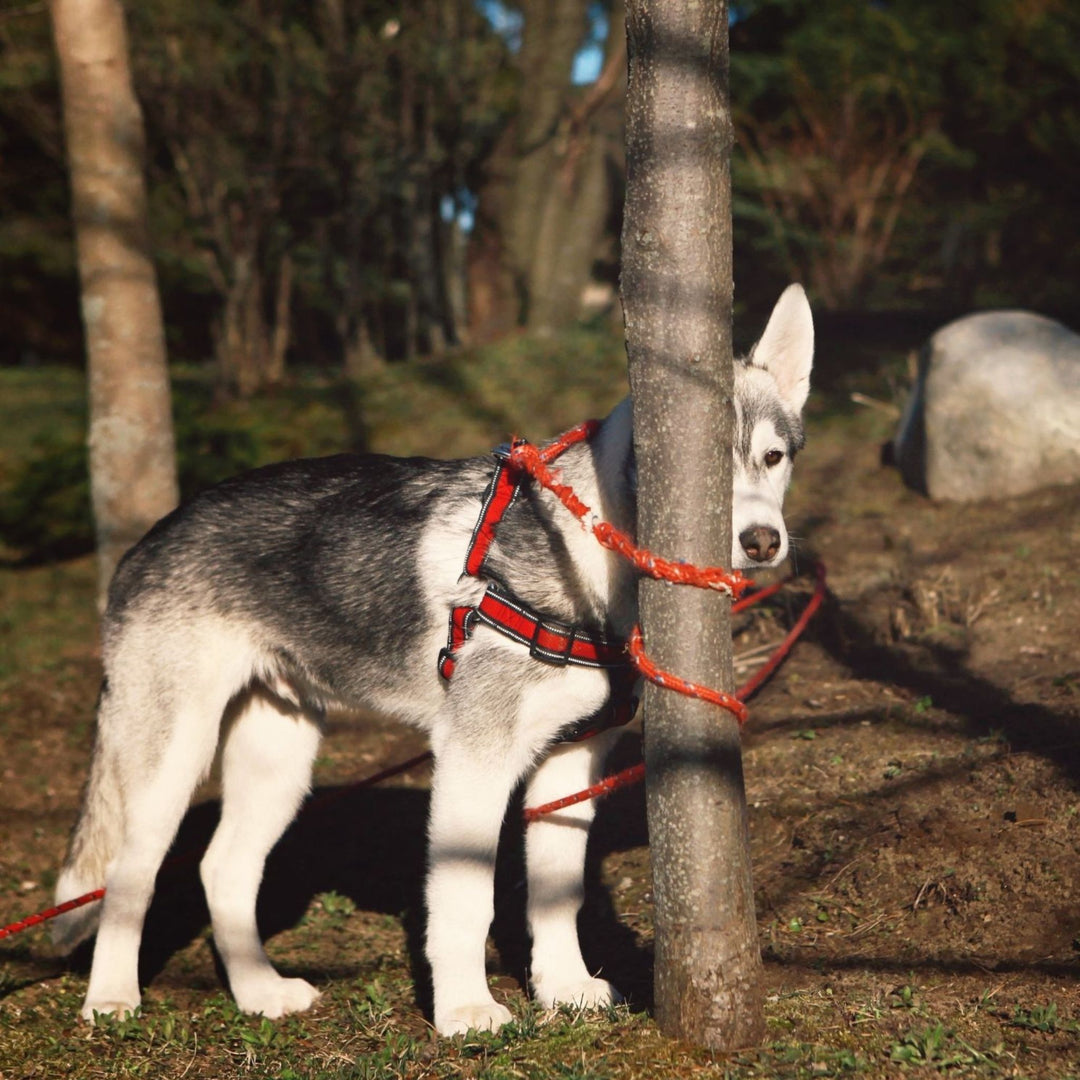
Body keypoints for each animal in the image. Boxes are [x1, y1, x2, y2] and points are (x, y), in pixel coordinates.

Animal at [50, 282, 812, 1032]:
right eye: (708, 476)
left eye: (775, 459)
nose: (763, 541)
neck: (589, 560)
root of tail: (147, 542)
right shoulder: (473, 760)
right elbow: (466, 903)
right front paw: (466, 1009)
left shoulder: (569, 761)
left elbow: (556, 894)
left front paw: (564, 987)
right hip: (170, 765)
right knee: (128, 876)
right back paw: (111, 999)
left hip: (279, 761)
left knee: (223, 870)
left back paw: (259, 992)